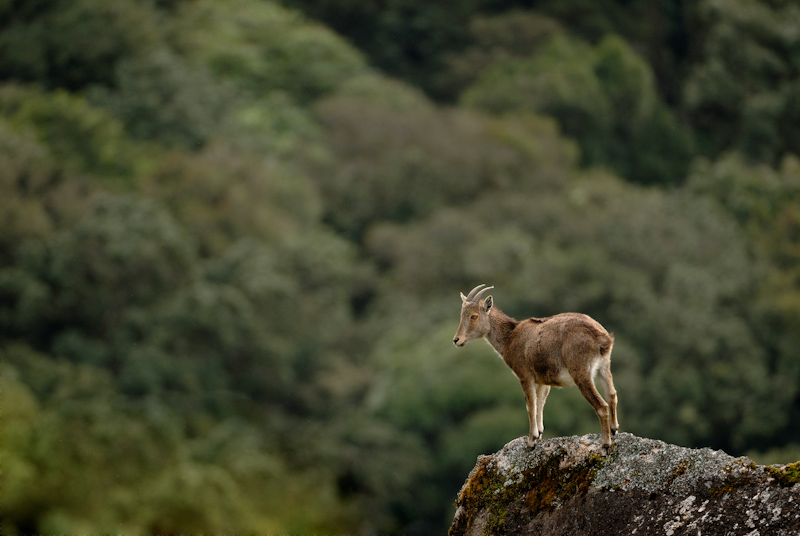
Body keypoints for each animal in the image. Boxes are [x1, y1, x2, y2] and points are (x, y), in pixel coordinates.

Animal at [450, 282, 620, 454]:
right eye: (461, 315)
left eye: (474, 316)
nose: (457, 340)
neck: (509, 337)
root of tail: (601, 338)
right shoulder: (543, 380)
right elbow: (539, 403)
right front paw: (539, 435)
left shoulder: (525, 375)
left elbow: (530, 404)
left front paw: (531, 441)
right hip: (604, 367)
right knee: (611, 395)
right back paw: (614, 430)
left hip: (581, 373)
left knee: (602, 406)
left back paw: (605, 444)